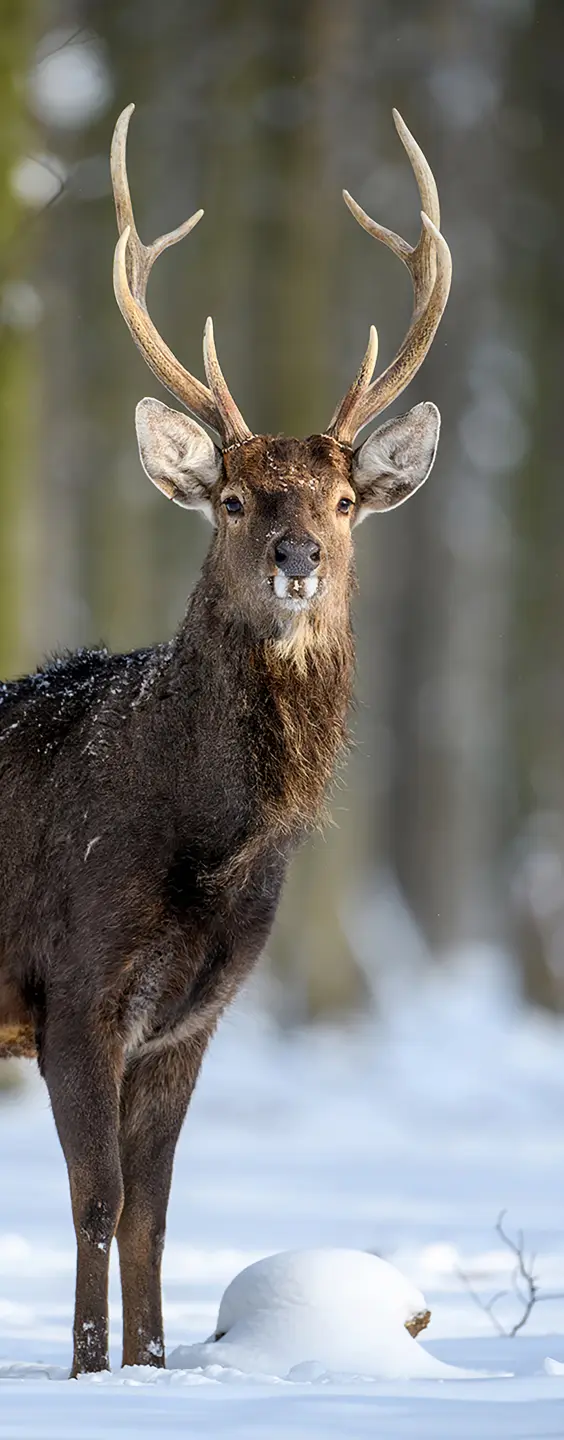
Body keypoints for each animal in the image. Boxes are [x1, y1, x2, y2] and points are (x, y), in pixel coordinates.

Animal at [0, 105, 451, 1376]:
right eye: (235, 500)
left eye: (343, 502)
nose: (300, 556)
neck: (203, 849)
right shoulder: (75, 987)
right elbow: (96, 1201)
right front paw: (87, 1371)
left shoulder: (195, 1015)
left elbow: (155, 1211)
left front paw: (154, 1369)